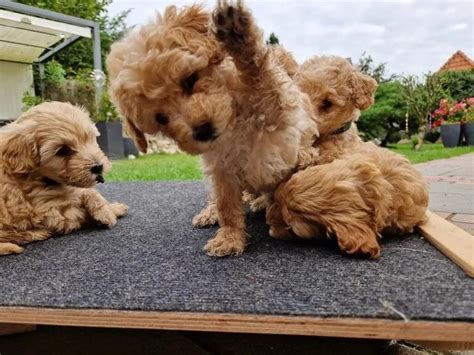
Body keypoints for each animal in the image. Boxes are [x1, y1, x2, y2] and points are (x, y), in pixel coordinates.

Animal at [0, 101, 128, 256]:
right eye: (63, 150)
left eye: (90, 138)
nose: (98, 167)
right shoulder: (51, 211)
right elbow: (83, 197)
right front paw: (110, 211)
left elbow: (84, 191)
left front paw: (110, 207)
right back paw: (34, 234)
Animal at [107, 0, 318, 256]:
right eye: (161, 118)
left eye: (189, 80)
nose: (202, 131)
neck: (233, 121)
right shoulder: (221, 168)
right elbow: (226, 204)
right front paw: (229, 237)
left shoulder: (276, 112)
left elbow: (260, 74)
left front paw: (236, 32)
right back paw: (211, 212)